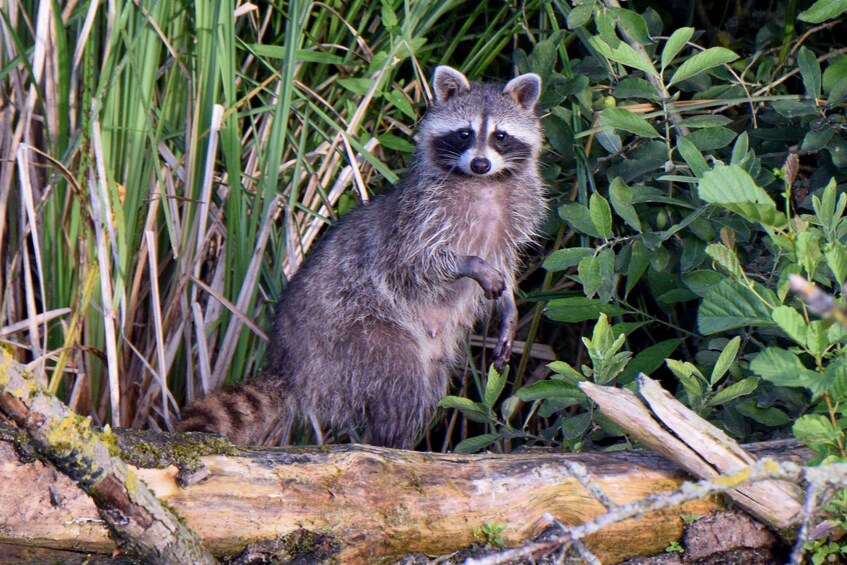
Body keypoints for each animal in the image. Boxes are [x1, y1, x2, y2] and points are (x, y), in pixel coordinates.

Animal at [178, 66, 545, 449]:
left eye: (500, 135)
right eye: (464, 133)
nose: (480, 163)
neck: (484, 186)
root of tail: (290, 368)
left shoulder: (515, 218)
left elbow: (504, 264)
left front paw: (508, 306)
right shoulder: (417, 220)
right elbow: (417, 265)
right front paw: (472, 265)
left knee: (425, 386)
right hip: (353, 335)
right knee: (399, 377)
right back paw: (391, 444)